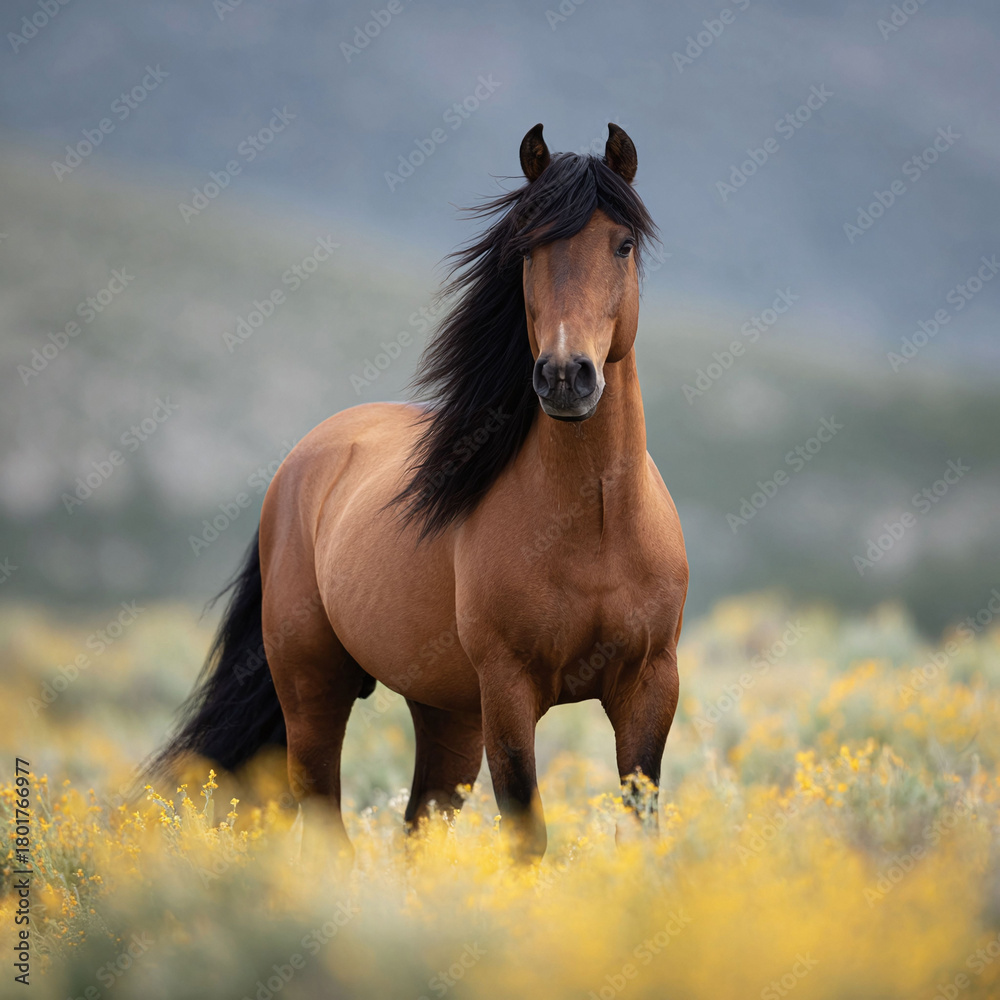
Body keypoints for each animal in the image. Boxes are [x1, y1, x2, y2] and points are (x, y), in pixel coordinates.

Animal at [151, 123, 688, 861]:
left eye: (623, 243)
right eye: (527, 248)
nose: (564, 377)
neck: (597, 522)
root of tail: (304, 461)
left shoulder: (649, 686)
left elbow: (642, 824)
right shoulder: (509, 694)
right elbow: (527, 836)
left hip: (446, 710)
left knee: (417, 826)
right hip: (314, 688)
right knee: (324, 815)